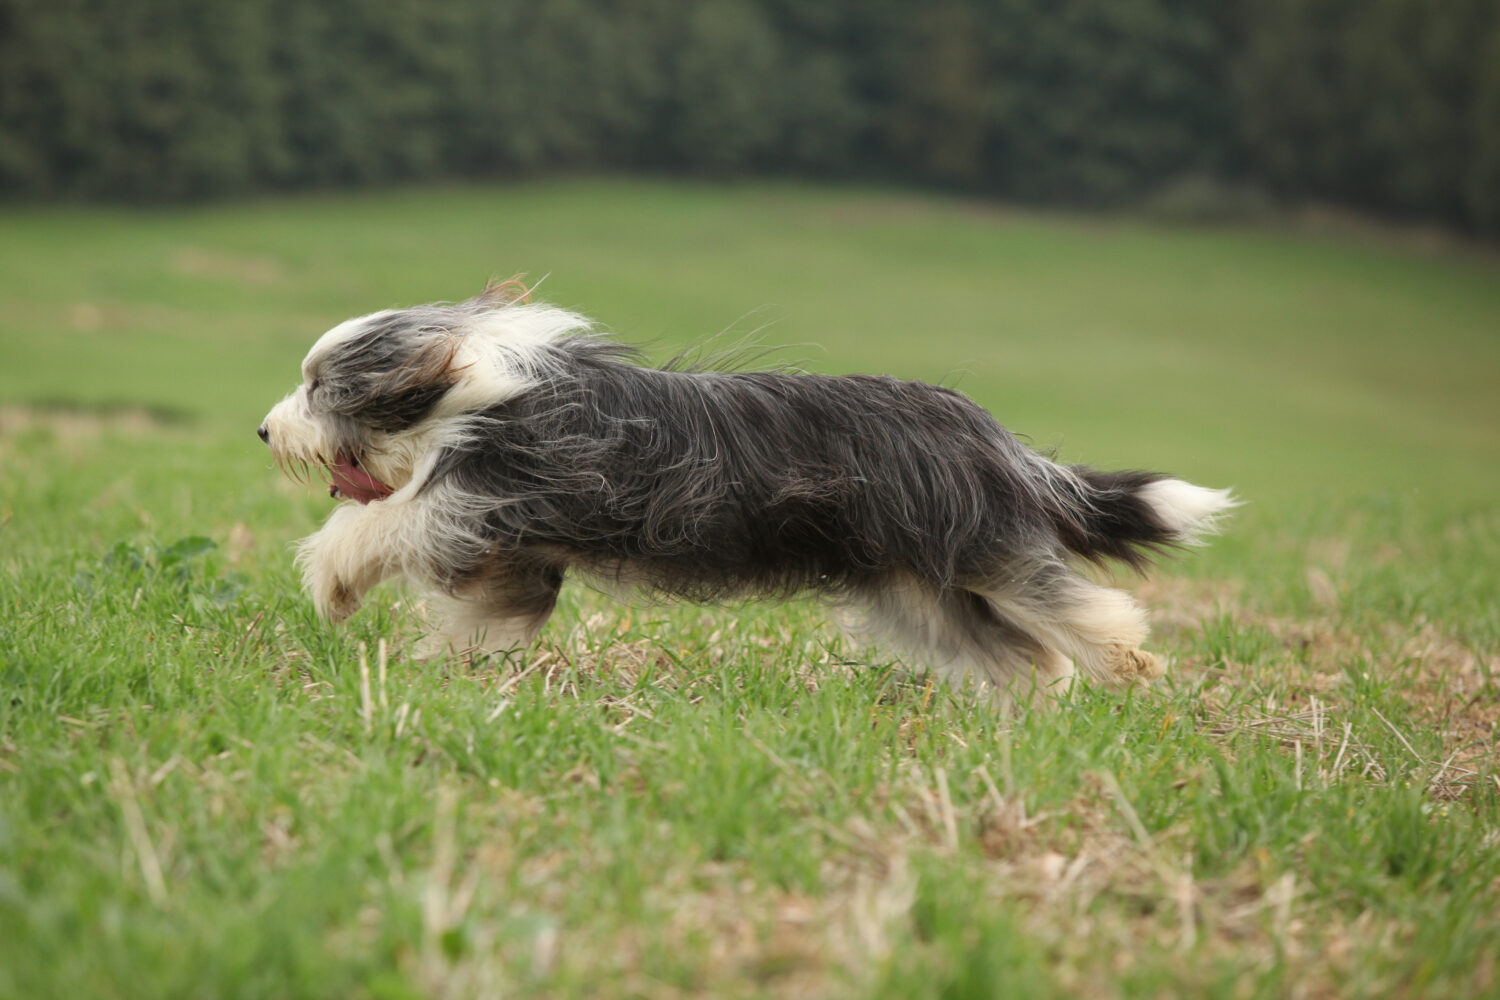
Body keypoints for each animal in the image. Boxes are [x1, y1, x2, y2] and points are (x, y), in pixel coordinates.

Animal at [264, 283, 1236, 695]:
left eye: (319, 387)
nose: (267, 431)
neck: (478, 388)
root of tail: (997, 439)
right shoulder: (515, 549)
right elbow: (490, 608)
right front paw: (443, 666)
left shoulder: (486, 491)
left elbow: (385, 525)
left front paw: (331, 584)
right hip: (917, 589)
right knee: (1022, 653)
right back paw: (1020, 716)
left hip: (976, 546)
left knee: (1072, 606)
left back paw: (1126, 665)